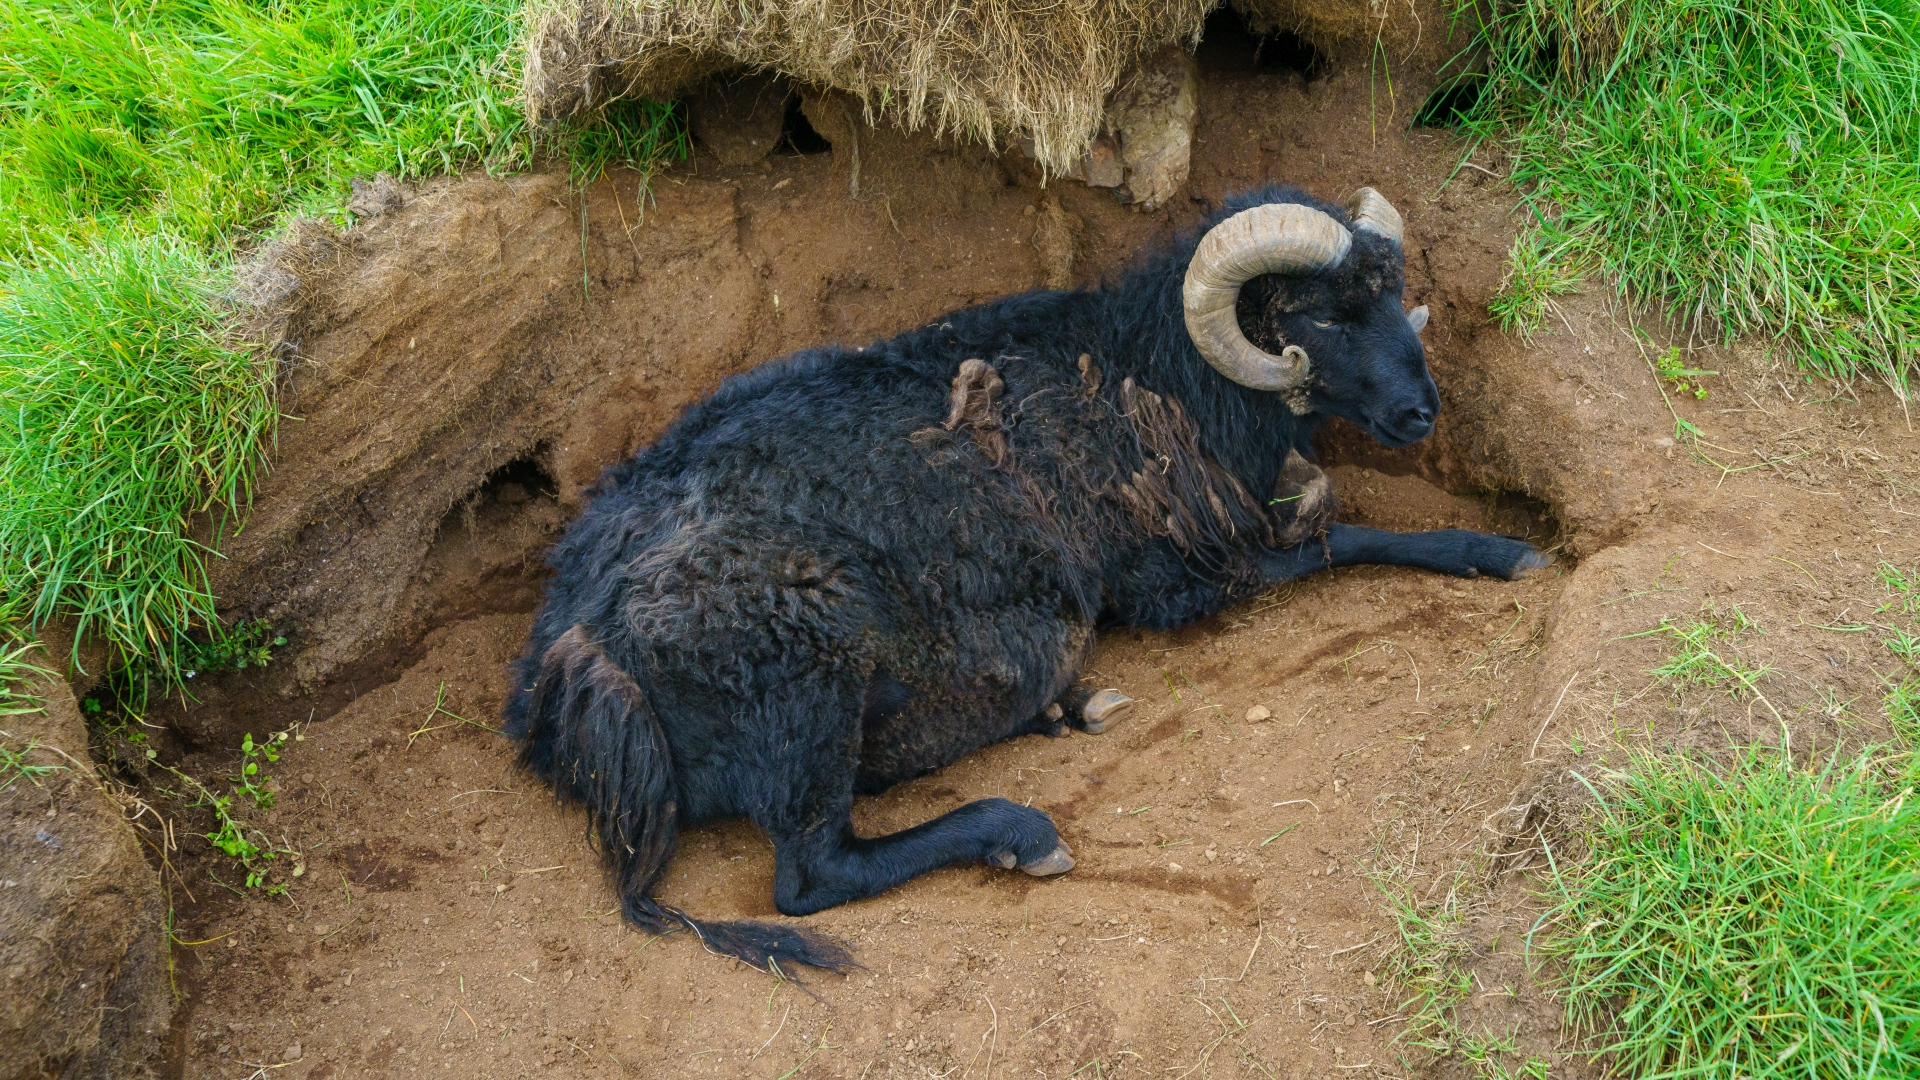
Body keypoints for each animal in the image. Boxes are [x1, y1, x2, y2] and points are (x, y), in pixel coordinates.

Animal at [506, 182, 1543, 968]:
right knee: (811, 876)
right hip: (803, 673)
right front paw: (1493, 550)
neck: (1143, 369)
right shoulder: (1169, 576)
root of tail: (578, 653)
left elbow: (1326, 509)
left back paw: (1070, 709)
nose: (1421, 412)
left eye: (1393, 294)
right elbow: (1346, 538)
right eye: (1324, 314)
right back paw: (1017, 830)